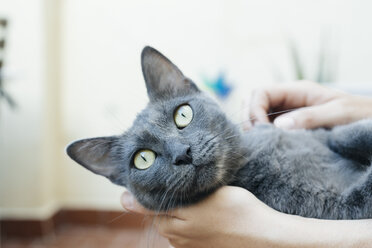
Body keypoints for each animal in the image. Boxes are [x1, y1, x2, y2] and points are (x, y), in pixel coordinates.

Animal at [66, 46, 372, 219]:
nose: (183, 153)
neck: (258, 156)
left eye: (183, 114)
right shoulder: (335, 206)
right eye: (143, 159)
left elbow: (340, 133)